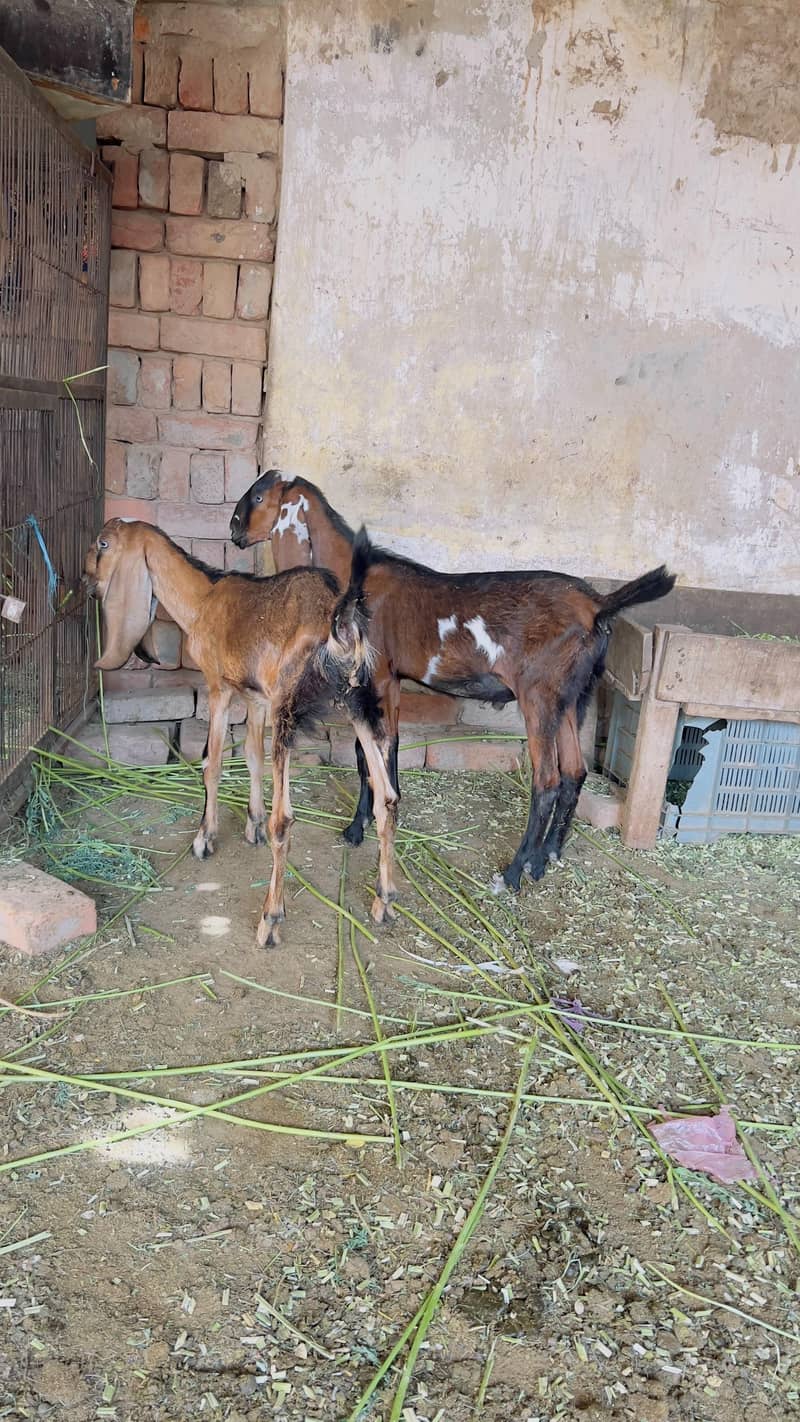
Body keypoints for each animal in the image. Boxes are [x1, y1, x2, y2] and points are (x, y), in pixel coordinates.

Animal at [83, 518, 398, 946]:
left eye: (102, 543)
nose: (86, 580)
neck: (203, 598)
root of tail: (341, 623)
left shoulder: (219, 687)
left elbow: (213, 763)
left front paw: (205, 838)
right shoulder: (255, 698)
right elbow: (251, 756)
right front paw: (252, 824)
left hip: (289, 707)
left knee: (285, 819)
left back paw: (270, 920)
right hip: (356, 703)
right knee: (387, 799)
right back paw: (384, 901)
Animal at [230, 472, 676, 890]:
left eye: (259, 497)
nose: (234, 531)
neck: (356, 578)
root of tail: (598, 605)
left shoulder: (377, 676)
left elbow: (369, 753)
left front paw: (360, 827)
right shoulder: (389, 681)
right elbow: (384, 749)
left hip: (540, 696)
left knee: (547, 780)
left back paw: (513, 872)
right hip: (572, 698)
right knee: (575, 771)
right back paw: (545, 858)